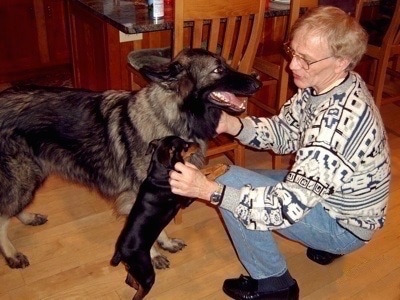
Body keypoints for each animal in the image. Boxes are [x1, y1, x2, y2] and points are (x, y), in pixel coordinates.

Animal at [0, 47, 262, 270]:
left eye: (227, 63)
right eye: (218, 70)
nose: (258, 81)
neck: (172, 118)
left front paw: (165, 243)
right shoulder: (142, 194)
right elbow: (144, 227)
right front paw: (152, 254)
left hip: (33, 173)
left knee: (12, 207)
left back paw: (28, 217)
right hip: (22, 177)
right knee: (3, 215)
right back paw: (12, 254)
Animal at [111, 137, 228, 300]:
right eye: (185, 146)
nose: (198, 144)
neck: (160, 174)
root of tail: (120, 252)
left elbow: (199, 172)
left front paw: (221, 165)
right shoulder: (186, 199)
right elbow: (204, 179)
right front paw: (221, 169)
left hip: (136, 269)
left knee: (129, 280)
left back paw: (134, 283)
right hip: (146, 271)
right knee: (139, 292)